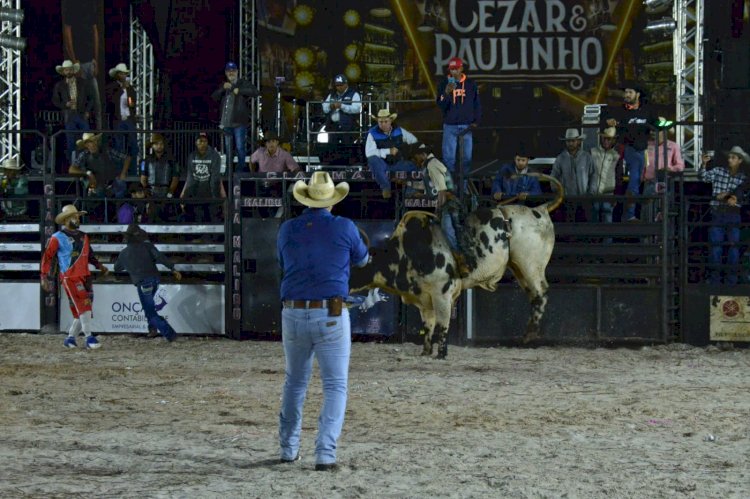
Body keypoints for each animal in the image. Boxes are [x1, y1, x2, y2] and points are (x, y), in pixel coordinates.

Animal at [352, 175, 564, 360]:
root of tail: (540, 209)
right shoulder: (424, 299)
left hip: (530, 263)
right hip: (519, 267)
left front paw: (441, 354)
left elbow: (442, 325)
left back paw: (530, 334)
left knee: (541, 291)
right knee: (533, 294)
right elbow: (428, 326)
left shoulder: (442, 293)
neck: (408, 250)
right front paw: (426, 352)